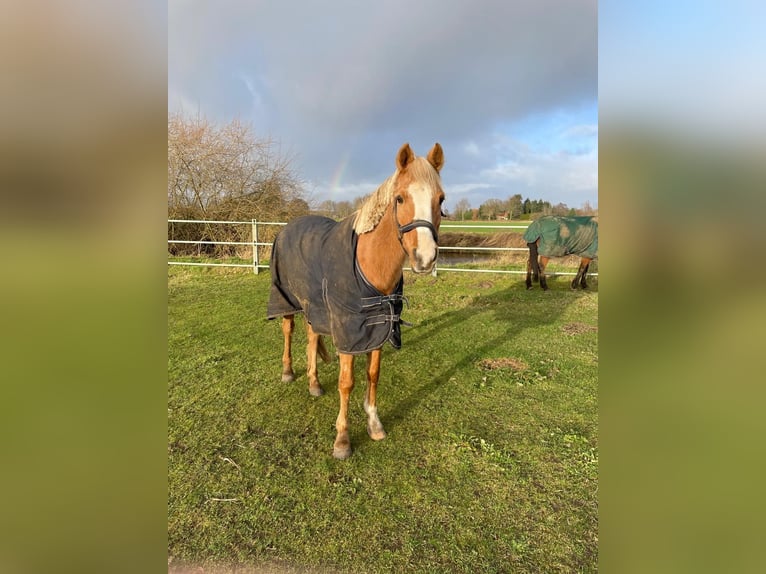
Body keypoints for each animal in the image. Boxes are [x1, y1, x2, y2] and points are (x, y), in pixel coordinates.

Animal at [268, 145, 444, 464]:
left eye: (441, 199)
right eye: (400, 198)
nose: (424, 258)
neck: (369, 264)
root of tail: (288, 226)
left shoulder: (378, 328)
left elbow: (373, 374)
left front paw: (374, 424)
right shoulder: (348, 333)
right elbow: (346, 382)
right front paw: (342, 440)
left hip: (315, 307)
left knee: (311, 338)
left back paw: (314, 384)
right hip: (286, 299)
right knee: (288, 331)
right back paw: (288, 372)